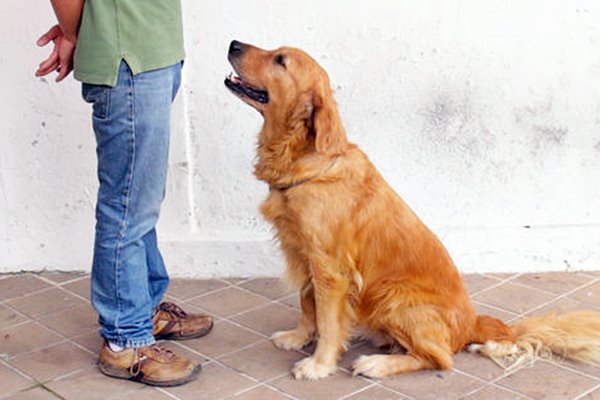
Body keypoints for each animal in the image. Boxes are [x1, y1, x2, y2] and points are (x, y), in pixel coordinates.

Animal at [223, 40, 600, 382]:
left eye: (280, 60)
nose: (233, 43)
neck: (305, 159)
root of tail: (473, 323)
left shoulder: (330, 267)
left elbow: (328, 322)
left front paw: (319, 364)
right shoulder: (303, 252)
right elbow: (307, 304)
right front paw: (299, 337)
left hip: (392, 295)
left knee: (440, 358)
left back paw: (377, 363)